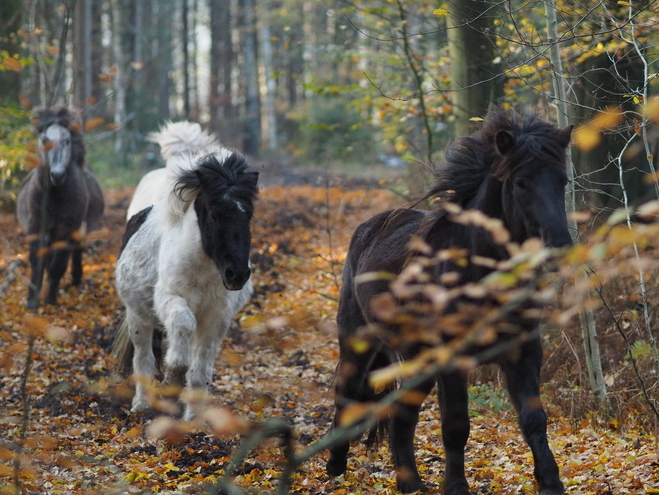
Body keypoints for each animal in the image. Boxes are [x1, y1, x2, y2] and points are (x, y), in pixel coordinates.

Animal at [16, 106, 104, 310]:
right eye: (44, 140)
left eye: (67, 141)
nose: (57, 175)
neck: (55, 197)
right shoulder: (37, 227)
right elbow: (37, 259)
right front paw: (32, 301)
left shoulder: (68, 231)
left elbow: (59, 265)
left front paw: (50, 300)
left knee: (76, 252)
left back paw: (76, 280)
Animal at [113, 122, 258, 420]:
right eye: (214, 214)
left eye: (248, 214)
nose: (236, 275)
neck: (204, 270)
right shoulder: (170, 300)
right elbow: (181, 336)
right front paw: (170, 383)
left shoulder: (216, 318)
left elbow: (200, 372)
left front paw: (193, 421)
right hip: (138, 317)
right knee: (143, 359)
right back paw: (141, 404)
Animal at [328, 106, 576, 494]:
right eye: (521, 182)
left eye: (562, 181)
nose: (559, 247)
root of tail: (368, 230)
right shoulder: (451, 358)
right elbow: (456, 425)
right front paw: (456, 485)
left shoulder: (523, 351)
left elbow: (534, 417)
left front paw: (551, 482)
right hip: (358, 342)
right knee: (346, 394)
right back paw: (336, 467)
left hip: (417, 359)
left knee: (402, 417)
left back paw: (411, 484)